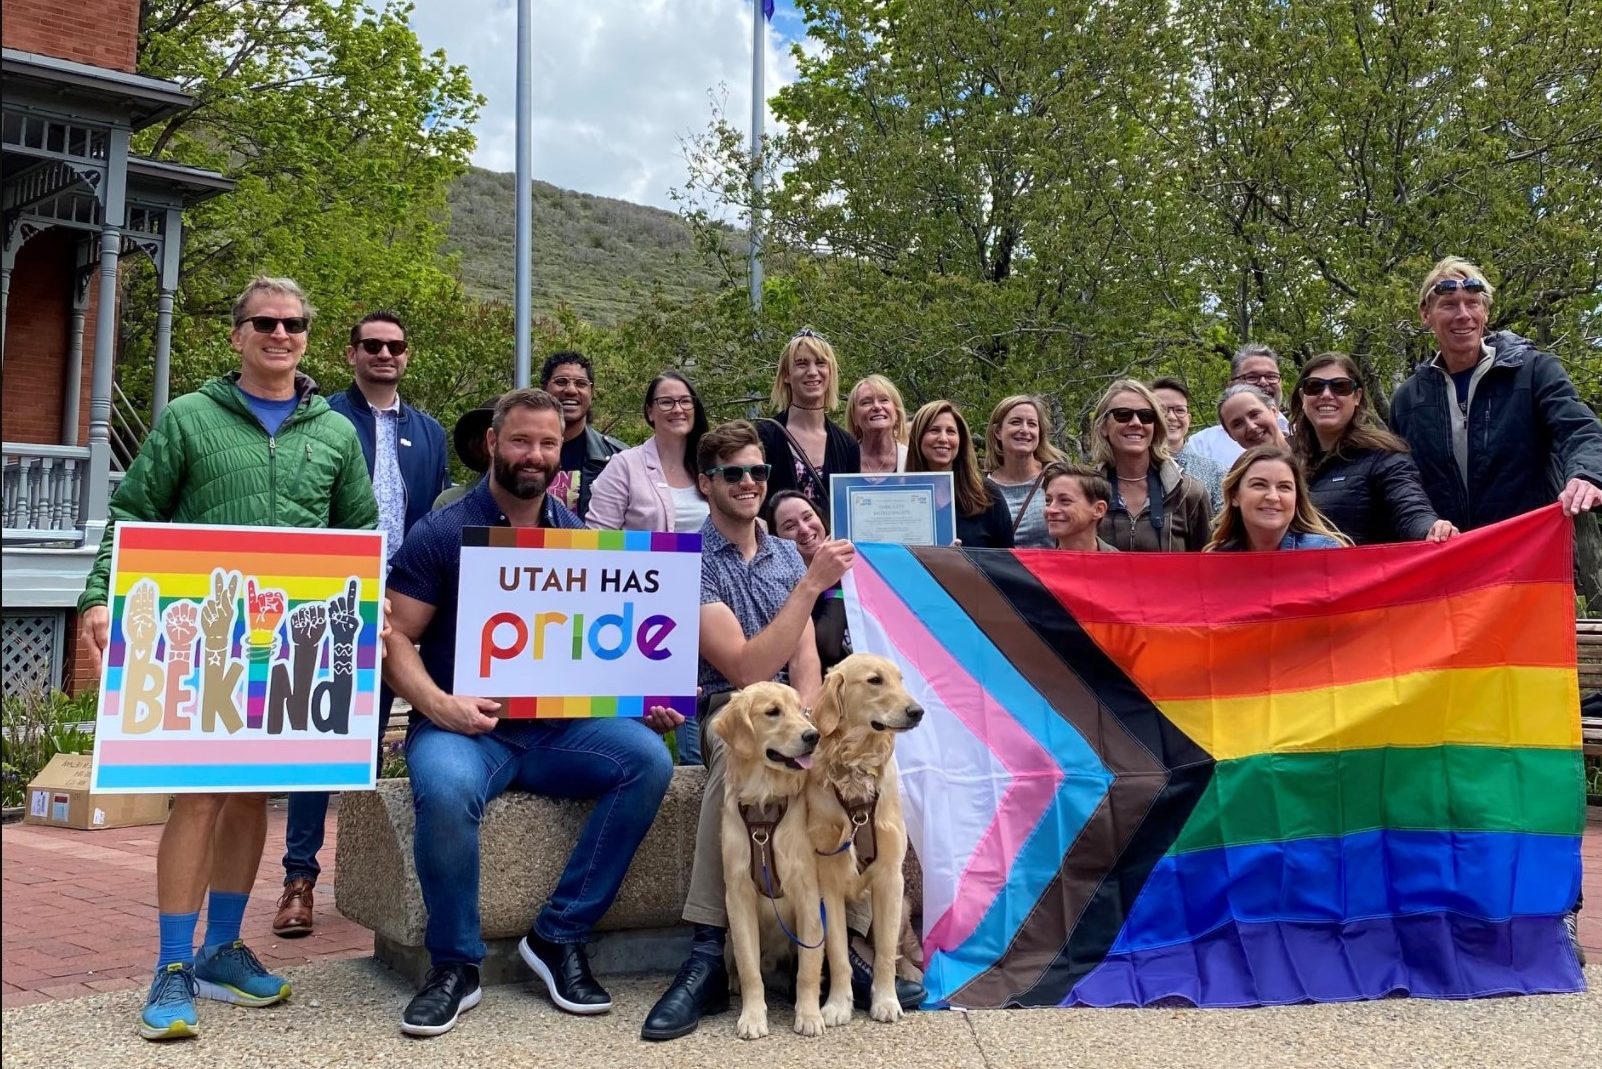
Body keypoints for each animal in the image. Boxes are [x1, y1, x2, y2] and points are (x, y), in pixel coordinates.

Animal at [714, 682, 826, 1038]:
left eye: (801, 710)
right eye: (772, 712)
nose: (813, 735)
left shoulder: (808, 894)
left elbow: (808, 967)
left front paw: (809, 1014)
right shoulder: (738, 896)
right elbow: (750, 968)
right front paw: (752, 1017)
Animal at [801, 653, 929, 1025]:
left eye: (900, 679)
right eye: (874, 680)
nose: (917, 711)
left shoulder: (889, 878)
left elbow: (885, 953)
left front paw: (886, 1000)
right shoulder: (827, 882)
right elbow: (838, 953)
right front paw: (837, 1004)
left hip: (902, 903)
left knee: (900, 949)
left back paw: (911, 974)